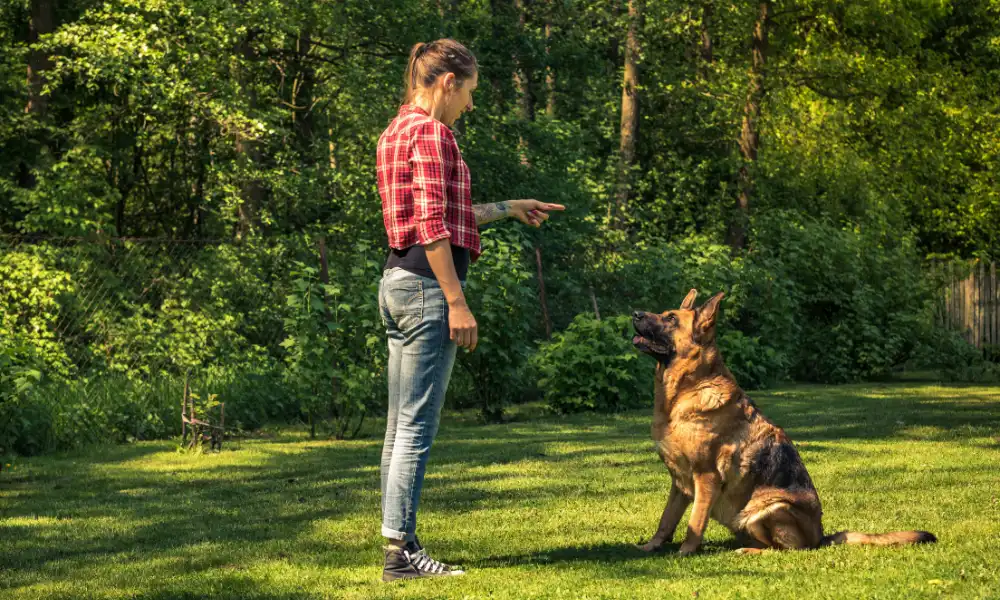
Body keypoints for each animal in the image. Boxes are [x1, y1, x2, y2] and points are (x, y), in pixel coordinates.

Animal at [632, 288, 936, 556]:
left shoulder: (705, 477)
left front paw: (685, 552)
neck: (683, 392)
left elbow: (695, 522)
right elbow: (667, 519)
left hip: (767, 509)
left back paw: (749, 551)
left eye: (671, 319)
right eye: (663, 314)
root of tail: (820, 537)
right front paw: (651, 547)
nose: (634, 313)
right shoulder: (680, 483)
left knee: (787, 550)